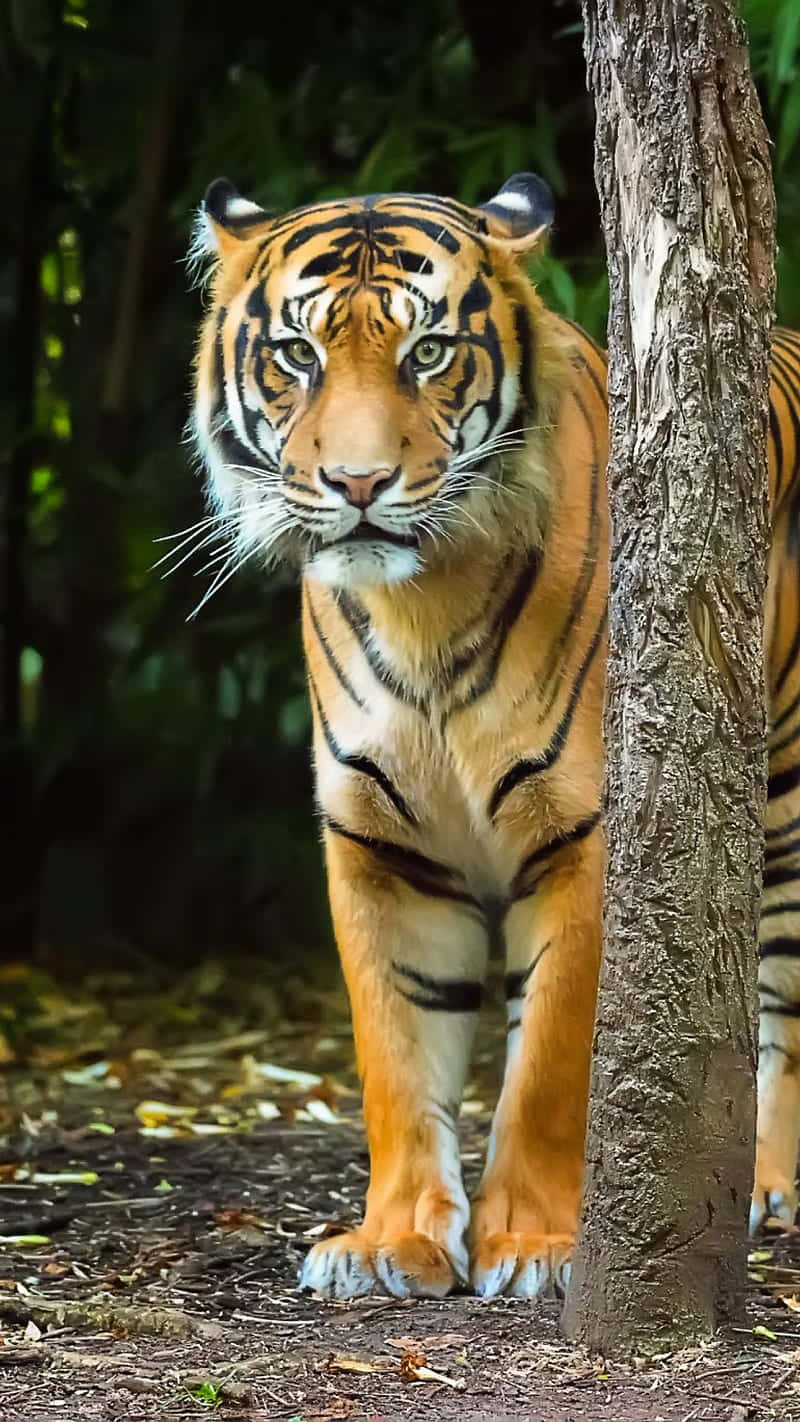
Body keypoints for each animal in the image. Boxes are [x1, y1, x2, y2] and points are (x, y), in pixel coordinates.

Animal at [188, 169, 800, 1302]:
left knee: (784, 1001)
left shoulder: (584, 835)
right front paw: (390, 1242)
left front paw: (535, 1247)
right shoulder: (379, 847)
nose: (357, 485)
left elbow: (548, 1062)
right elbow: (394, 1052)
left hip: (782, 803)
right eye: (297, 356)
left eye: (428, 352)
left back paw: (767, 1188)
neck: (418, 608)